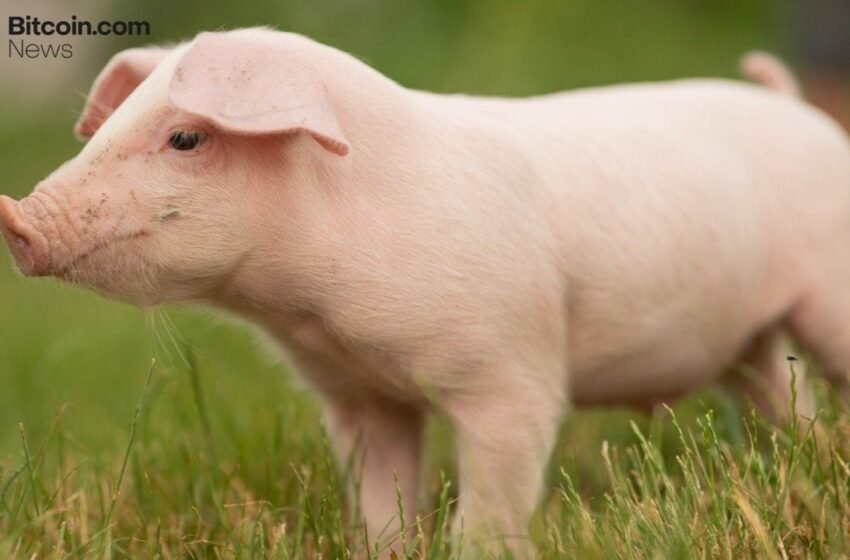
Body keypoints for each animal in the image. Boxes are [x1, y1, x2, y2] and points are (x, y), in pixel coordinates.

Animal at [2, 28, 850, 556]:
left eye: (185, 137)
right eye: (111, 125)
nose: (17, 217)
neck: (318, 315)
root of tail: (794, 106)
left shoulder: (512, 374)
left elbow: (495, 500)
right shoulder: (361, 398)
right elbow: (380, 502)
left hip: (829, 288)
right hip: (750, 342)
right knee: (781, 396)